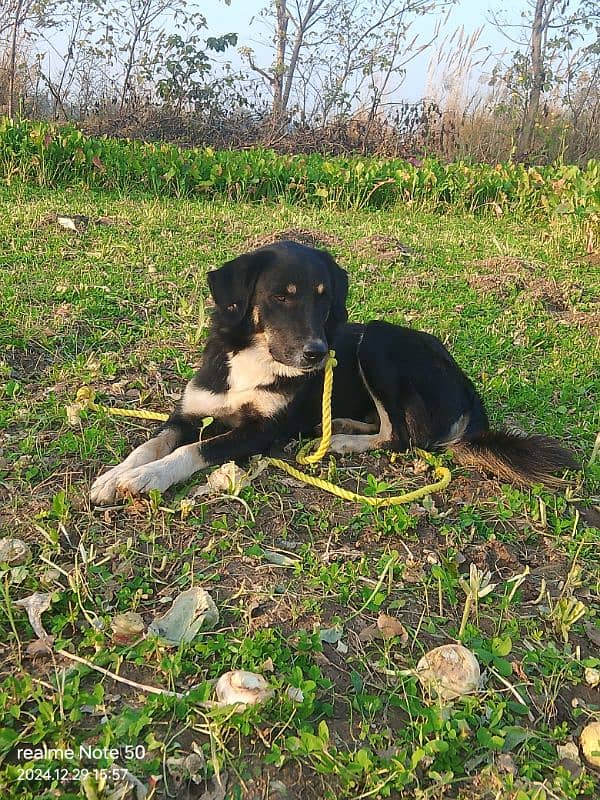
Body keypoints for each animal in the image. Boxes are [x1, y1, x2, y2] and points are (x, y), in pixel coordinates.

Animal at [89, 239, 576, 506]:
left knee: (402, 437)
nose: (318, 354)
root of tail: (470, 391)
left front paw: (148, 479)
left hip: (377, 341)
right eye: (281, 296)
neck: (255, 358)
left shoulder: (262, 433)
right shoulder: (189, 413)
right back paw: (340, 425)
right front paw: (117, 476)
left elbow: (192, 451)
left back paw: (341, 440)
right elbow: (152, 444)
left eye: (323, 297)